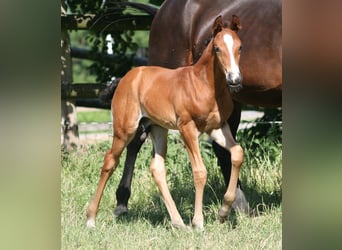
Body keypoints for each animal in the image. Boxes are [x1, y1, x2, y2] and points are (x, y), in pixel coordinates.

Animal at [87, 15, 244, 230]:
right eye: (217, 48)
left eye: (240, 47)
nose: (234, 79)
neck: (205, 85)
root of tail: (125, 78)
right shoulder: (187, 128)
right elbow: (200, 172)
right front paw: (198, 222)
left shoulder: (217, 127)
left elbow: (237, 153)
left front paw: (223, 212)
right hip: (125, 129)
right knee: (110, 161)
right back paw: (91, 218)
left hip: (158, 128)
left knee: (157, 168)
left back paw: (178, 222)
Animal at [113, 0, 282, 216]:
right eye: (217, 48)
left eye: (241, 47)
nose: (236, 79)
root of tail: (162, 10)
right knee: (137, 138)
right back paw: (121, 203)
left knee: (225, 150)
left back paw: (237, 206)